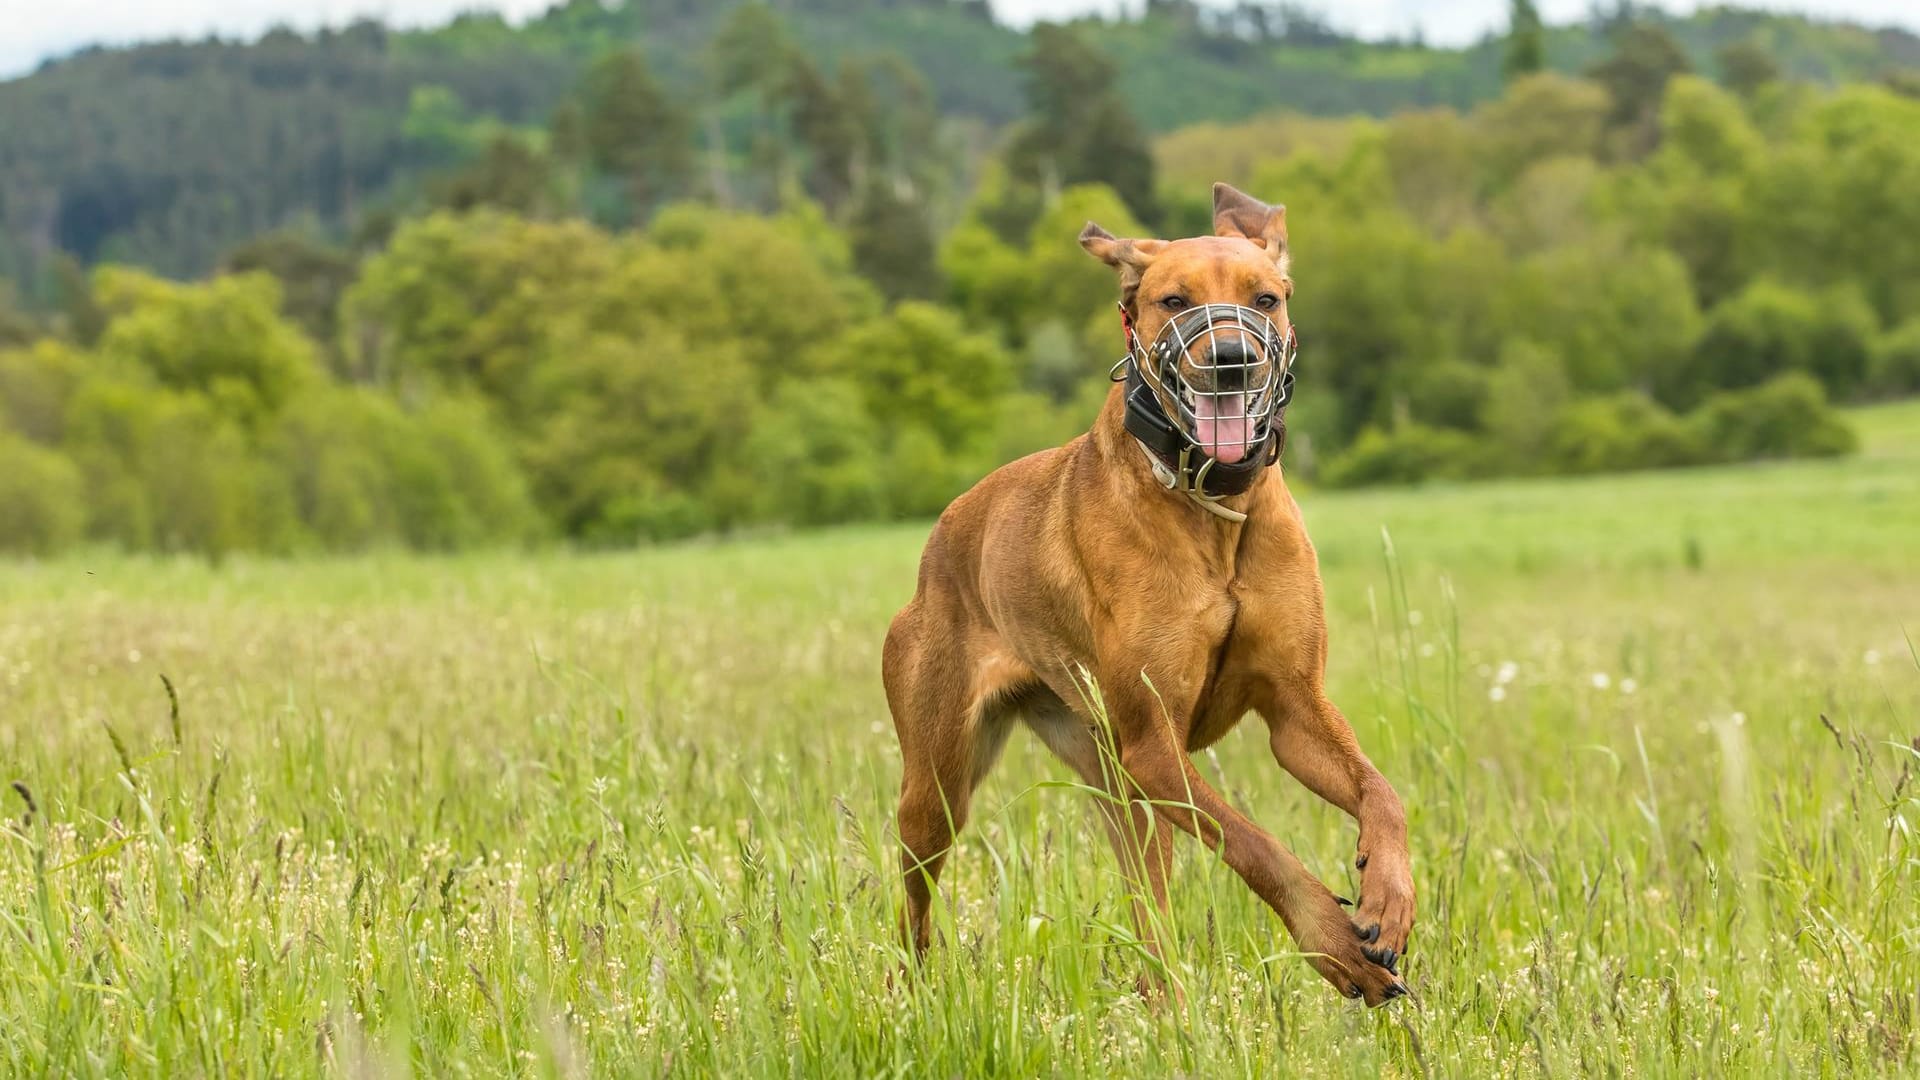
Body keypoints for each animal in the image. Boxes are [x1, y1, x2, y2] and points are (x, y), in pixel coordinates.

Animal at [879, 182, 1413, 999]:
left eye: (1266, 297)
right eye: (1173, 300)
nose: (1231, 360)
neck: (1211, 504)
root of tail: (940, 540)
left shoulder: (1294, 710)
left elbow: (1382, 792)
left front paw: (1390, 896)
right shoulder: (1157, 747)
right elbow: (1255, 845)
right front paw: (1331, 939)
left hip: (1121, 794)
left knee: (1150, 917)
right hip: (939, 786)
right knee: (914, 899)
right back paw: (917, 992)